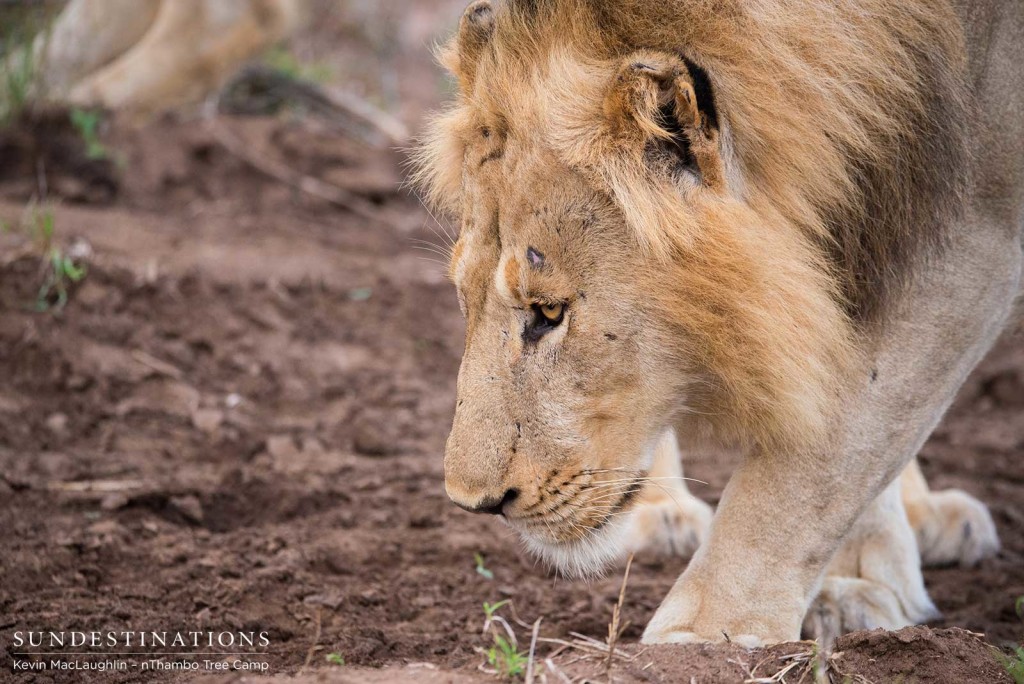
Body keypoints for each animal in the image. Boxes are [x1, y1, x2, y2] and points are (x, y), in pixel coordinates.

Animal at [415, 0, 1024, 643]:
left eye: (549, 312)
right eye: (464, 300)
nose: (474, 504)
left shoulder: (976, 230)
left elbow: (822, 454)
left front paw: (704, 637)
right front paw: (857, 583)